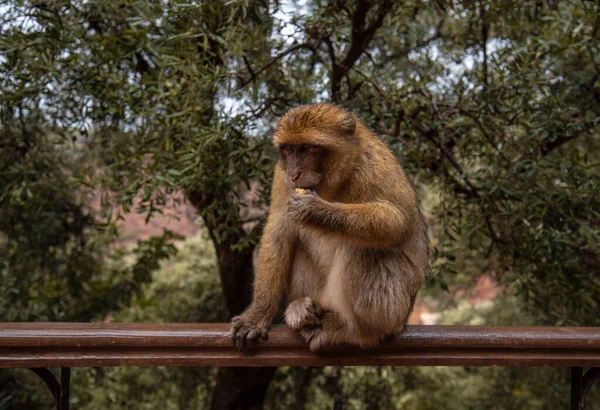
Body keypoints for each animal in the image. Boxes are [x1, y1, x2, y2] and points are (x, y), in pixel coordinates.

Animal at [232, 103, 428, 352]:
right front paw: (257, 315)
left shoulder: (373, 165)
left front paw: (316, 210)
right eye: (289, 149)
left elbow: (397, 221)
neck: (331, 181)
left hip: (395, 309)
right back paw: (301, 309)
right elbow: (278, 233)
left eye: (306, 148)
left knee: (364, 249)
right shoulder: (281, 176)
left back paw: (356, 331)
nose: (294, 174)